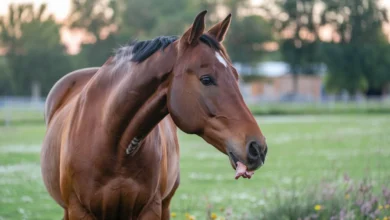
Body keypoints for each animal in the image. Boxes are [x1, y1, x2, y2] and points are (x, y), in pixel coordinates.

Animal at [42, 11, 268, 219]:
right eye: (206, 79)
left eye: (235, 75)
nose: (258, 148)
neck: (113, 145)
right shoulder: (79, 210)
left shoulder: (151, 208)